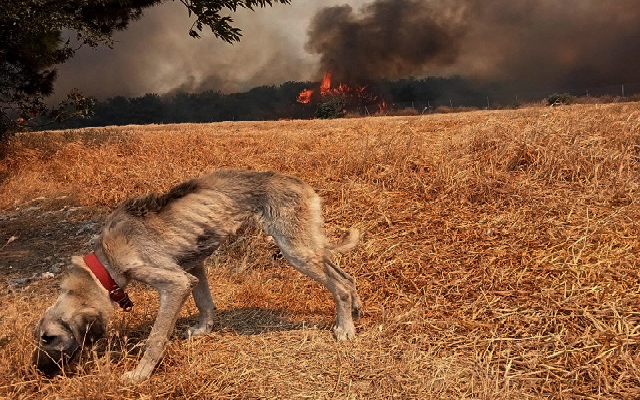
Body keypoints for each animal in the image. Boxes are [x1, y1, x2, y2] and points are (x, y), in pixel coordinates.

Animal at [33, 168, 360, 382]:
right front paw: (203, 330)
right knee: (345, 275)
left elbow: (155, 339)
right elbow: (204, 303)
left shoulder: (175, 283)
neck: (104, 262)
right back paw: (355, 310)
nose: (37, 372)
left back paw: (344, 328)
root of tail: (302, 185)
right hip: (307, 247)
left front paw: (140, 375)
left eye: (49, 338)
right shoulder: (193, 267)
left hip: (296, 252)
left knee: (341, 285)